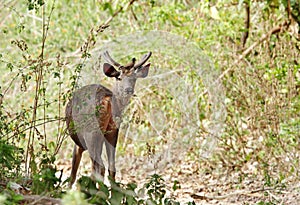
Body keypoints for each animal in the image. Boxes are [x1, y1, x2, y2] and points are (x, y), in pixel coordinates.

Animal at [65, 50, 150, 186]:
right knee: (111, 167)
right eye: (119, 78)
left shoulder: (79, 144)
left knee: (99, 166)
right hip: (112, 130)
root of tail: (107, 100)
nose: (128, 89)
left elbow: (73, 173)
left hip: (91, 133)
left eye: (134, 78)